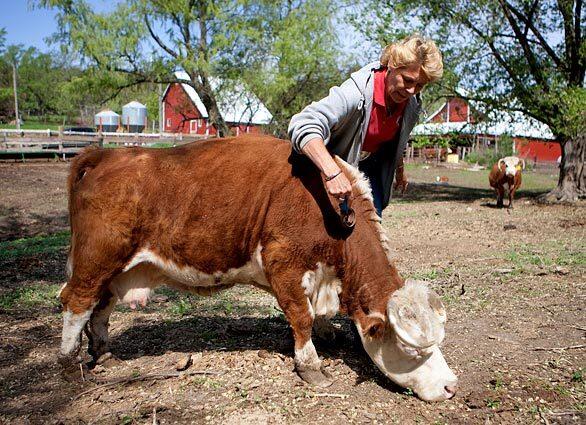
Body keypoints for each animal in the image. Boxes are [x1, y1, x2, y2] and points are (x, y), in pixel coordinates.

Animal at [61, 136, 458, 400]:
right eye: (411, 350)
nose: (451, 386)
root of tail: (105, 154)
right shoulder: (284, 263)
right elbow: (301, 316)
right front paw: (311, 366)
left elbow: (314, 315)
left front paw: (327, 332)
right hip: (96, 260)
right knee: (76, 302)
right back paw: (70, 363)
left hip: (116, 270)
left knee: (100, 308)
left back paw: (104, 354)